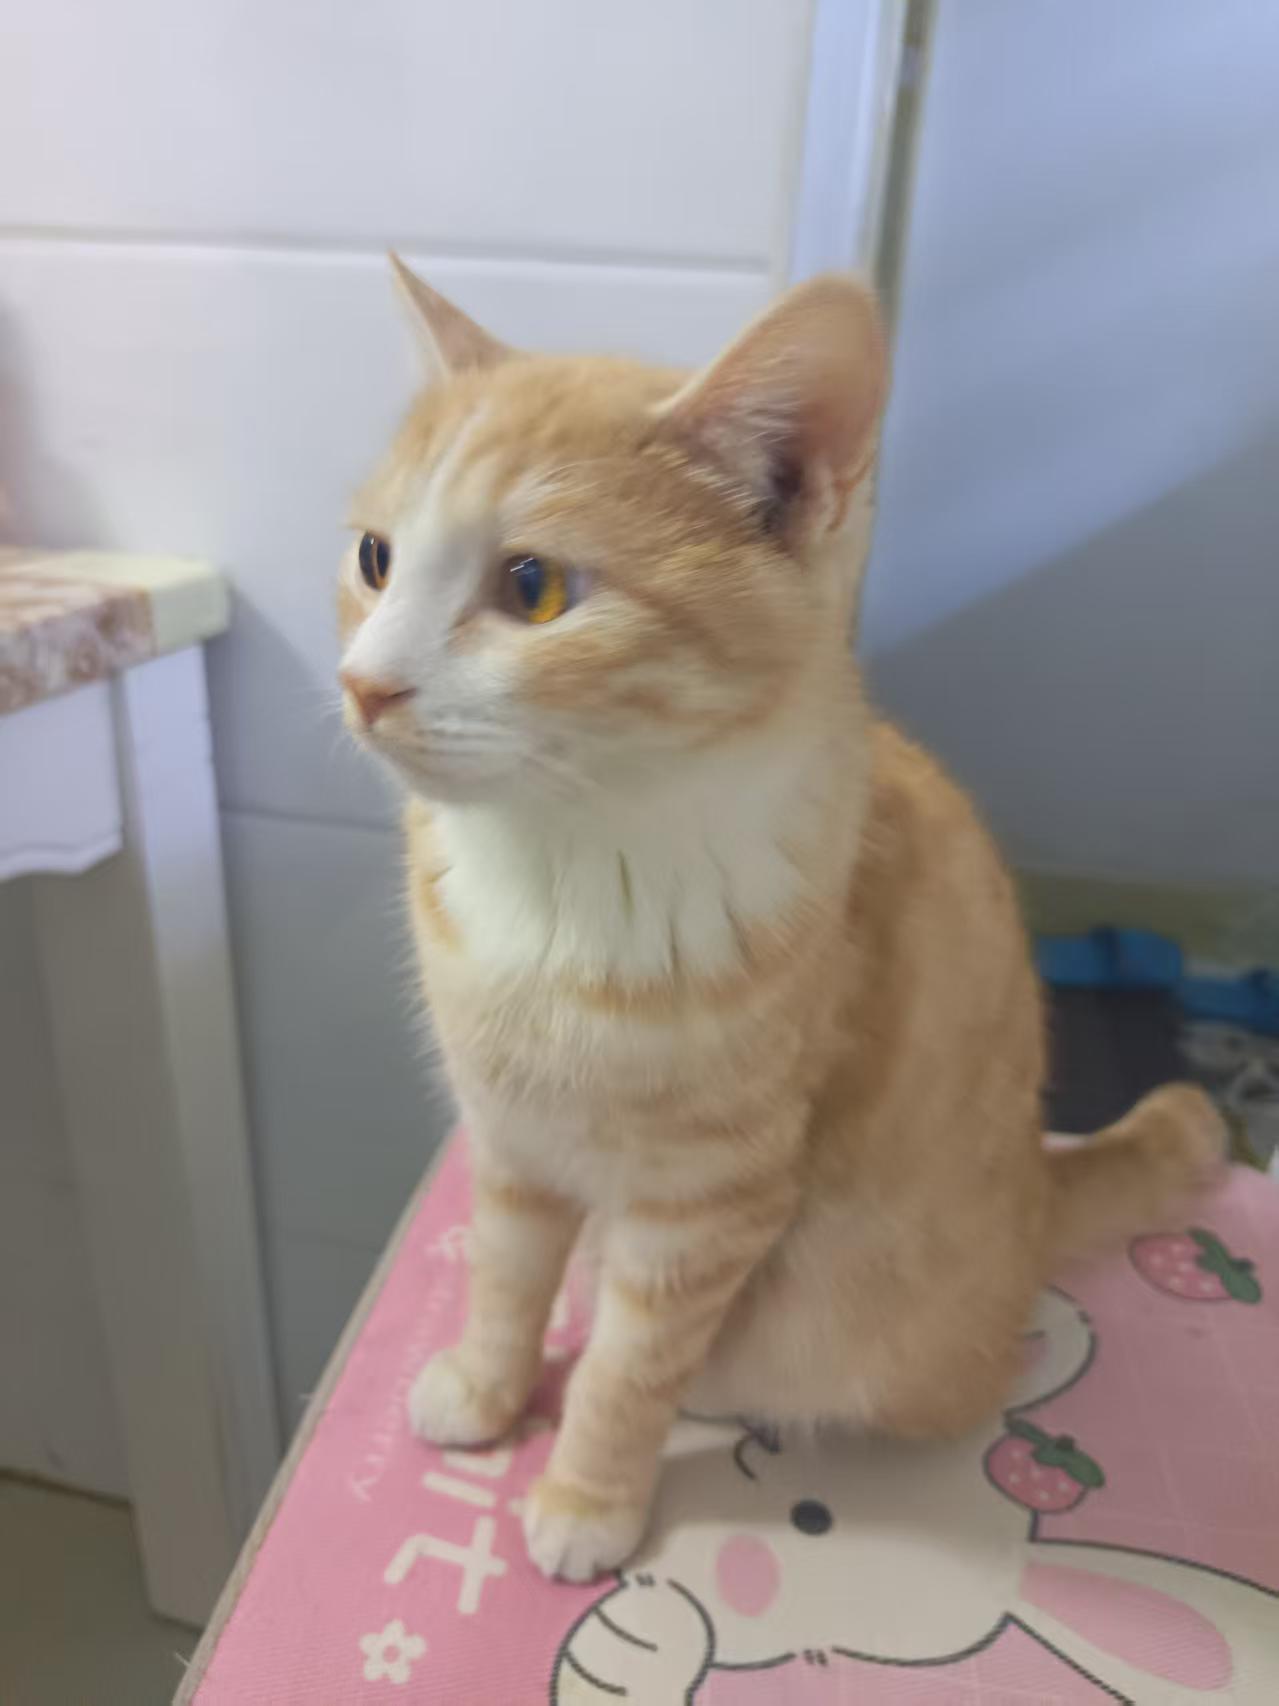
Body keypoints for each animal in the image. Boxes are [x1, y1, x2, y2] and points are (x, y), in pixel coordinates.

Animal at [337, 257, 1223, 1584]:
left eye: (531, 587)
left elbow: (626, 1368)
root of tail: (1031, 1201)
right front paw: (488, 1392)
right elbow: (501, 1272)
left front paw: (588, 1491)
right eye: (376, 557)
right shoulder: (509, 1132)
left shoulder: (710, 1200)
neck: (556, 871)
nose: (363, 683)